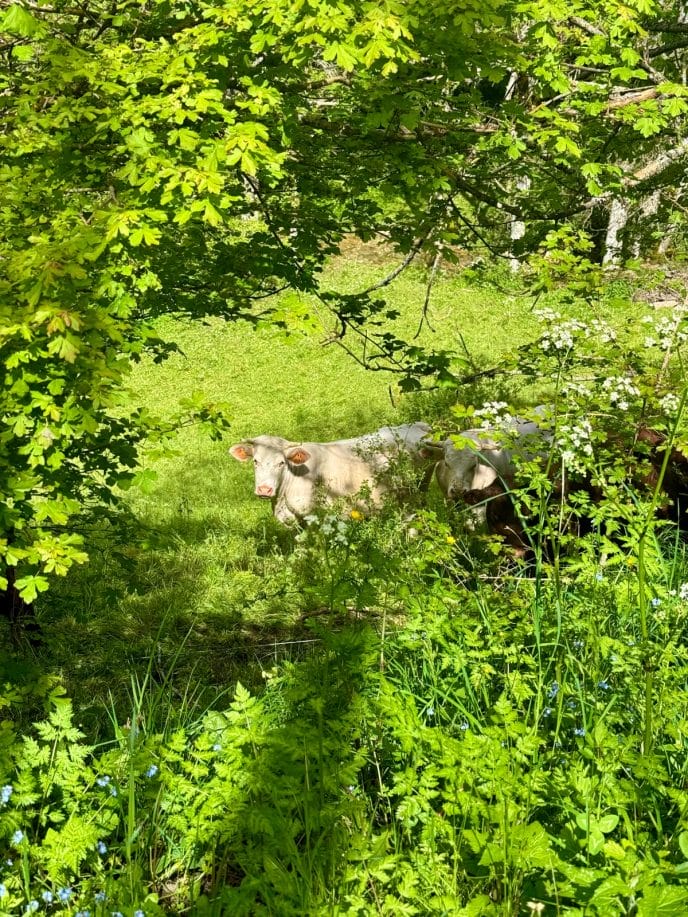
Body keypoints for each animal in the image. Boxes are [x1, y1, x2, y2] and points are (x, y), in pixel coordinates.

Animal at [231, 422, 436, 524]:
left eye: (281, 463)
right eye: (255, 461)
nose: (264, 489)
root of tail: (419, 425)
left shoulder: (315, 516)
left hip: (412, 494)